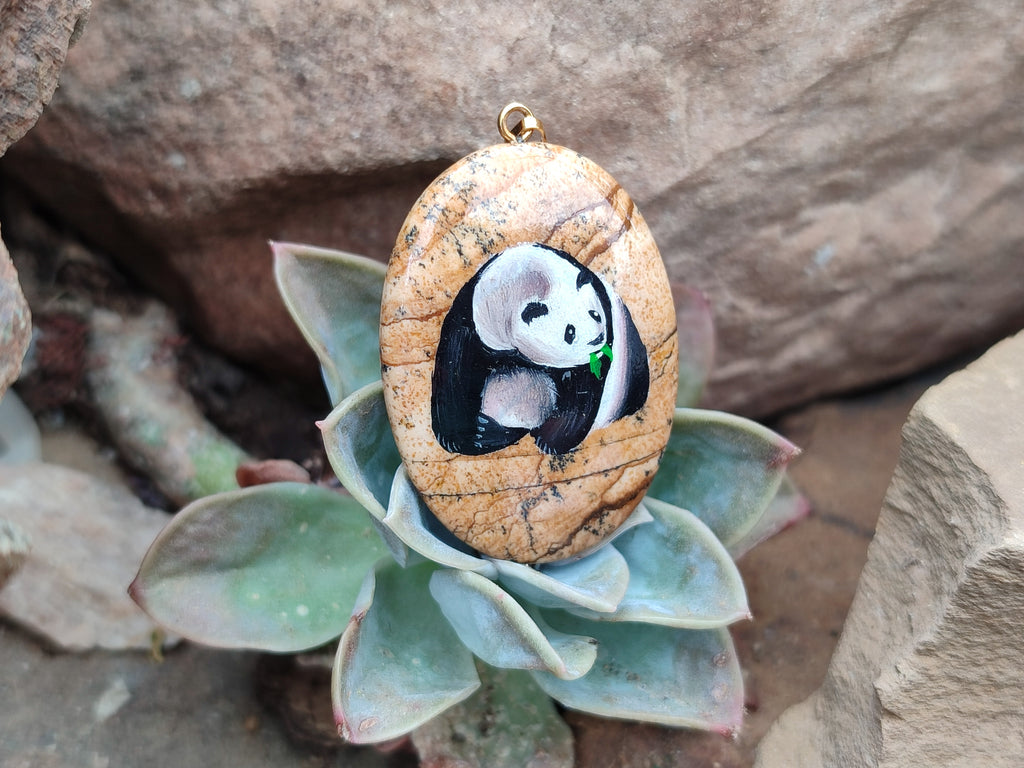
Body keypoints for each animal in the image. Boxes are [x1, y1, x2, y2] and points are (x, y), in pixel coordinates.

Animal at [431, 242, 649, 456]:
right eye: (569, 331)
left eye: (594, 314)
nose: (596, 340)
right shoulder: (470, 324)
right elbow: (454, 377)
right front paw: (467, 436)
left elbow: (583, 390)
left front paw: (548, 441)